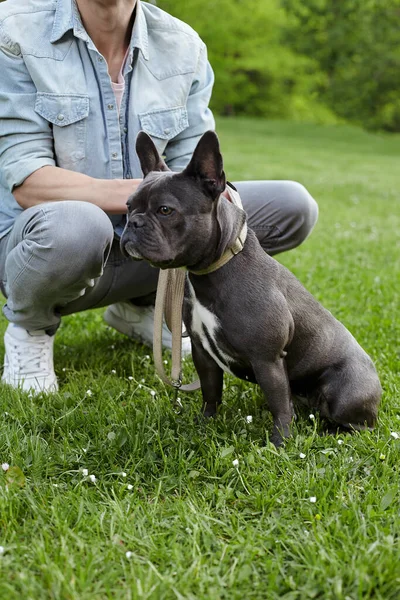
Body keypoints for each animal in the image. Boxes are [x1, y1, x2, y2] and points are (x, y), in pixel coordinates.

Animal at [121, 134, 382, 448]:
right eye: (127, 206)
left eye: (165, 210)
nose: (133, 222)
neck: (215, 270)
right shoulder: (203, 352)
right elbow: (211, 392)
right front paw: (205, 424)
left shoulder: (267, 360)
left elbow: (279, 407)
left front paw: (279, 444)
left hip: (345, 394)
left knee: (360, 427)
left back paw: (331, 433)